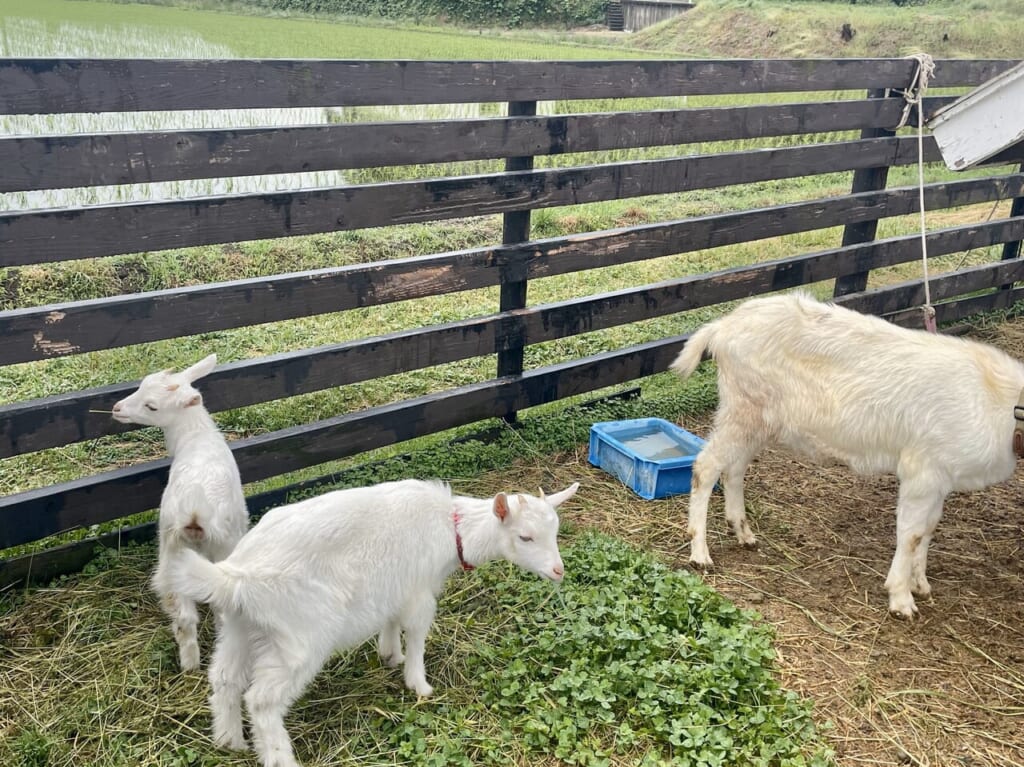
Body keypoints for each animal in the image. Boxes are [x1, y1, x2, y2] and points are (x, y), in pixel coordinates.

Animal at [113, 354, 248, 671]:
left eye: (152, 406)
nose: (117, 408)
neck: (196, 436)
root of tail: (195, 513)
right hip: (199, 549)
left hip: (178, 548)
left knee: (187, 613)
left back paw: (191, 663)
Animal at [671, 290, 1024, 618]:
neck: (1000, 401)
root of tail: (721, 327)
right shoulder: (922, 470)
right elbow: (910, 534)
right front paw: (901, 600)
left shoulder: (942, 477)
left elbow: (928, 528)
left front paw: (920, 584)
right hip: (743, 407)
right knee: (706, 466)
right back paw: (700, 553)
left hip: (759, 418)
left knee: (735, 468)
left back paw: (744, 533)